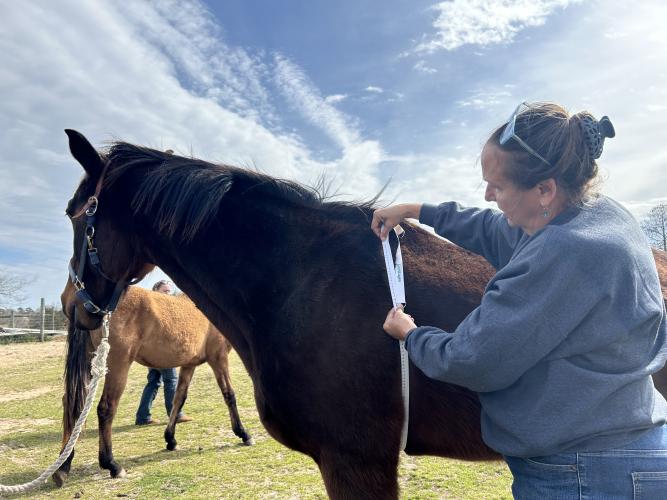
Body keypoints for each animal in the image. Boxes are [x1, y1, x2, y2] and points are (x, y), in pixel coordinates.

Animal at [53, 283, 254, 487]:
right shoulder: (218, 358)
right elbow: (229, 394)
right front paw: (243, 433)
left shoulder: (189, 365)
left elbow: (179, 399)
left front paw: (170, 438)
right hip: (117, 365)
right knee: (106, 408)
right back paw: (111, 464)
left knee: (71, 404)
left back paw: (63, 466)